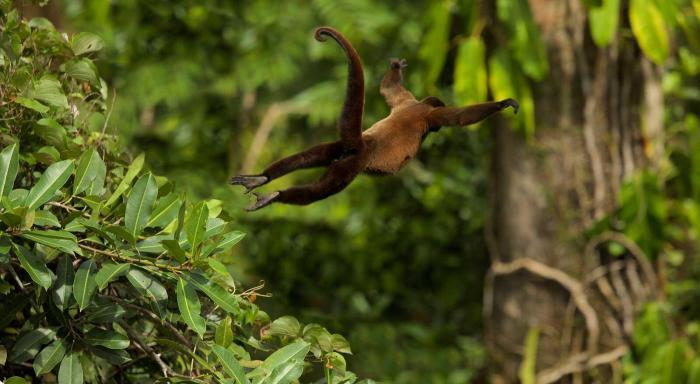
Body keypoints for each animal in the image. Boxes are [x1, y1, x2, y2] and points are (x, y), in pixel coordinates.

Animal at [231, 27, 520, 212]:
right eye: (435, 126)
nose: (436, 131)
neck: (420, 107)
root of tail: (363, 143)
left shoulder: (406, 101)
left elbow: (388, 89)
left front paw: (396, 68)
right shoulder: (431, 115)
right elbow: (459, 117)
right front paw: (503, 104)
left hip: (337, 149)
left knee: (306, 156)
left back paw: (261, 179)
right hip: (352, 164)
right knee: (321, 191)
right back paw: (275, 195)